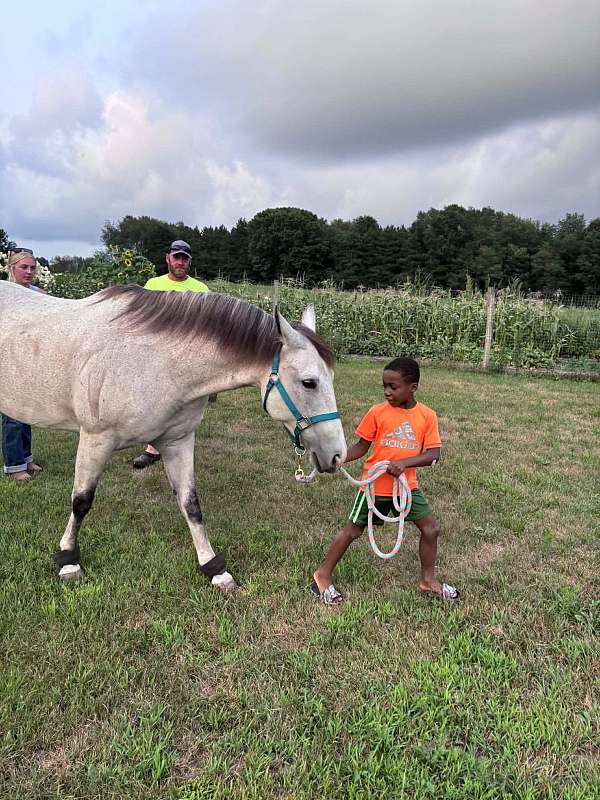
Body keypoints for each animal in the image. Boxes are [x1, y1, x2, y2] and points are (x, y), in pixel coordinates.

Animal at [0, 282, 346, 590]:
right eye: (309, 382)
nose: (337, 455)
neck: (153, 362)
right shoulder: (95, 439)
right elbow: (81, 501)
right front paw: (69, 560)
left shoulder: (177, 441)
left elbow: (190, 503)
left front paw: (214, 568)